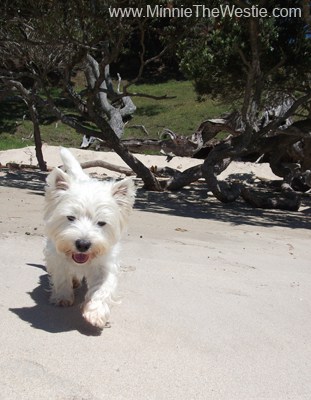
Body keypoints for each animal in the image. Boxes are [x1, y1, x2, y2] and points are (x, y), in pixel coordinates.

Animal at [43, 147, 135, 328]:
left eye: (101, 223)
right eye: (71, 217)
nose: (83, 244)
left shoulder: (106, 264)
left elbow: (103, 288)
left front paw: (96, 312)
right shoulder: (56, 255)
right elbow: (61, 275)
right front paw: (63, 297)